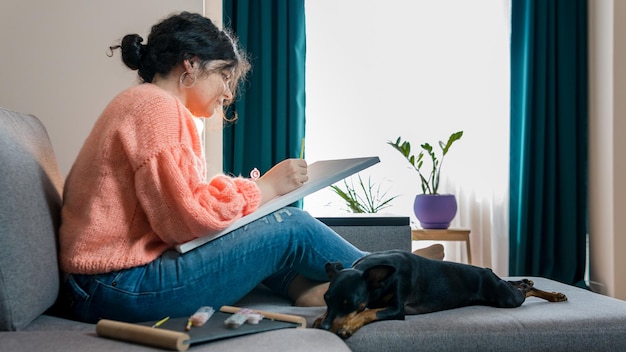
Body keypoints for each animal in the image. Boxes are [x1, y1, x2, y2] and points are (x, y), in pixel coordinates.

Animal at [312, 249, 564, 340]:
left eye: (351, 303)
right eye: (326, 299)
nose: (325, 329)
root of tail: (486, 271)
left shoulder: (397, 309)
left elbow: (369, 312)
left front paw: (347, 326)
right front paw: (319, 319)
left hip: (505, 298)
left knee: (525, 292)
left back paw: (553, 294)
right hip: (501, 289)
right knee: (517, 284)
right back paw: (530, 281)